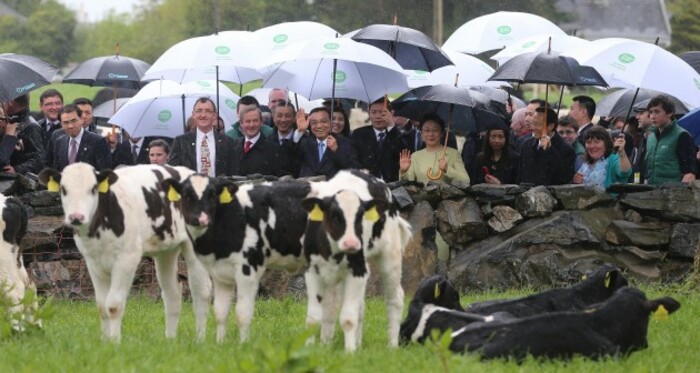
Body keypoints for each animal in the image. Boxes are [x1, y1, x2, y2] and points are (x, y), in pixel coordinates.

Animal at [38, 164, 212, 342]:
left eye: (93, 188)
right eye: (63, 189)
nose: (76, 217)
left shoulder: (127, 259)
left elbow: (114, 305)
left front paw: (114, 342)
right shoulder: (92, 262)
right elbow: (102, 306)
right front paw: (104, 341)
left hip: (193, 248)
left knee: (201, 292)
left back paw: (199, 339)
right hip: (166, 252)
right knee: (172, 294)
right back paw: (169, 339)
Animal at [302, 170, 412, 350]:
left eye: (361, 216)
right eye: (334, 215)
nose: (351, 243)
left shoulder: (357, 270)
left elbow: (348, 318)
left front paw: (350, 351)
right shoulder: (312, 271)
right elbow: (313, 318)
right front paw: (311, 349)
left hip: (390, 257)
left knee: (395, 298)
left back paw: (392, 345)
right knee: (349, 305)